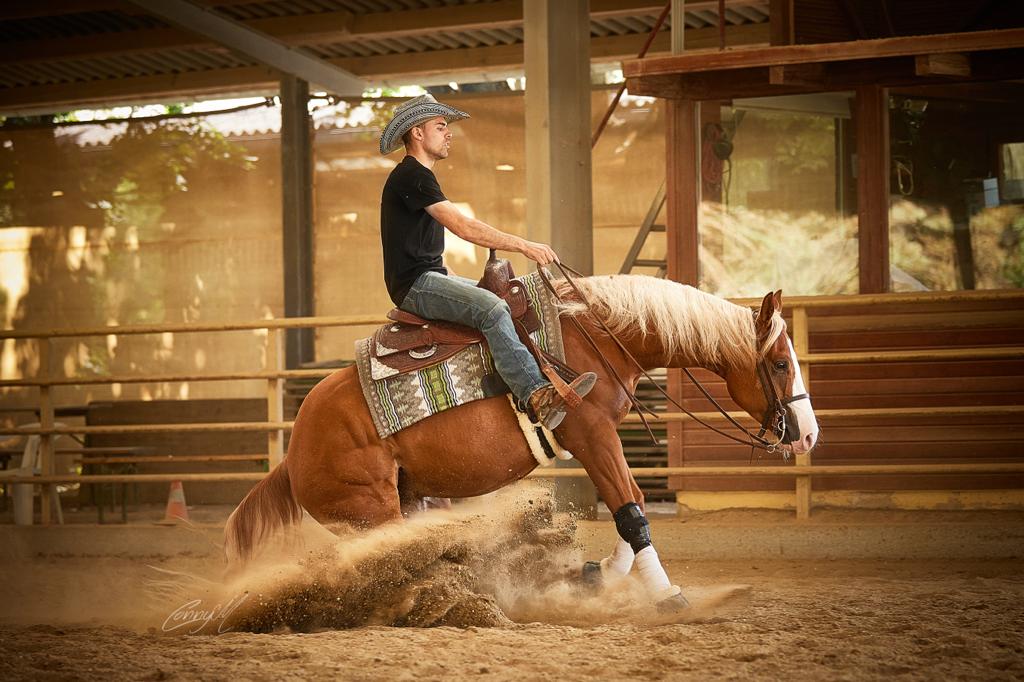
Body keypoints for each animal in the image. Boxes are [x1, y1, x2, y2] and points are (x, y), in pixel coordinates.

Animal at [224, 274, 819, 611]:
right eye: (780, 362)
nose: (809, 433)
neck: (597, 336)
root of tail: (294, 450)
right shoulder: (592, 434)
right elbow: (631, 510)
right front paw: (668, 595)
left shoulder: (599, 438)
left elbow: (633, 508)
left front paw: (594, 575)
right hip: (371, 511)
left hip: (406, 499)